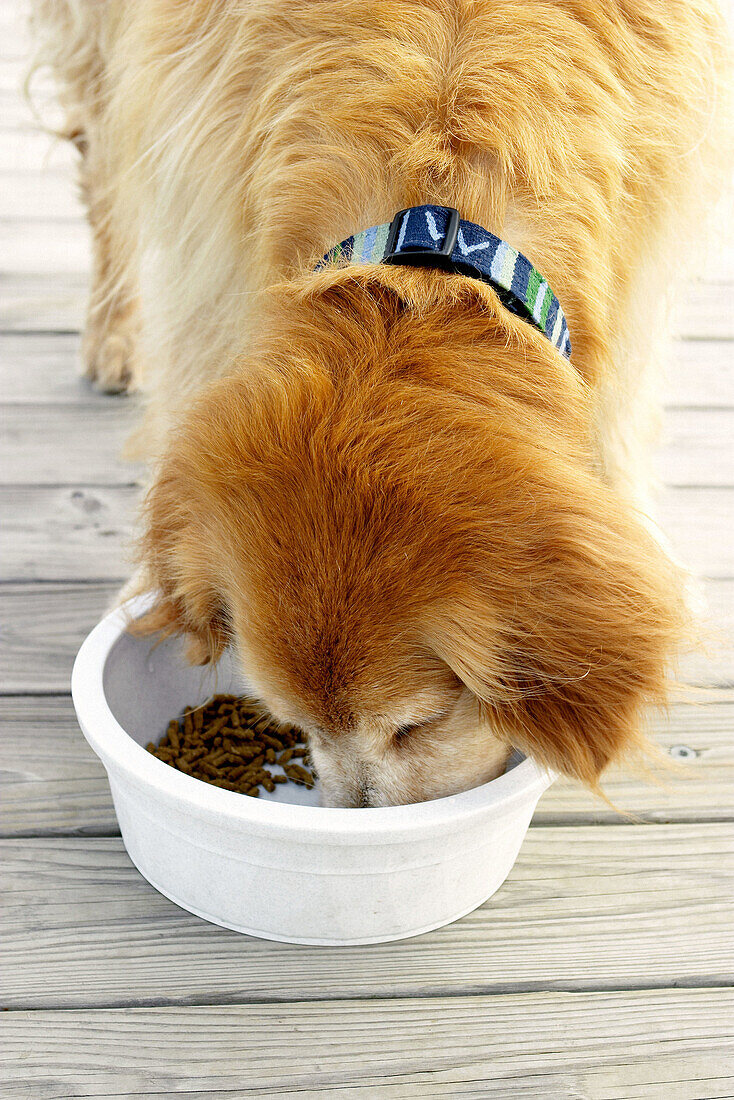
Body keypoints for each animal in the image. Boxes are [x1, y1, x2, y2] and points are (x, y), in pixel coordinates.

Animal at [33, 0, 730, 809]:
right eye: (290, 720)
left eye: (418, 724)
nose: (349, 821)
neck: (434, 243)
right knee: (102, 167)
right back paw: (112, 336)